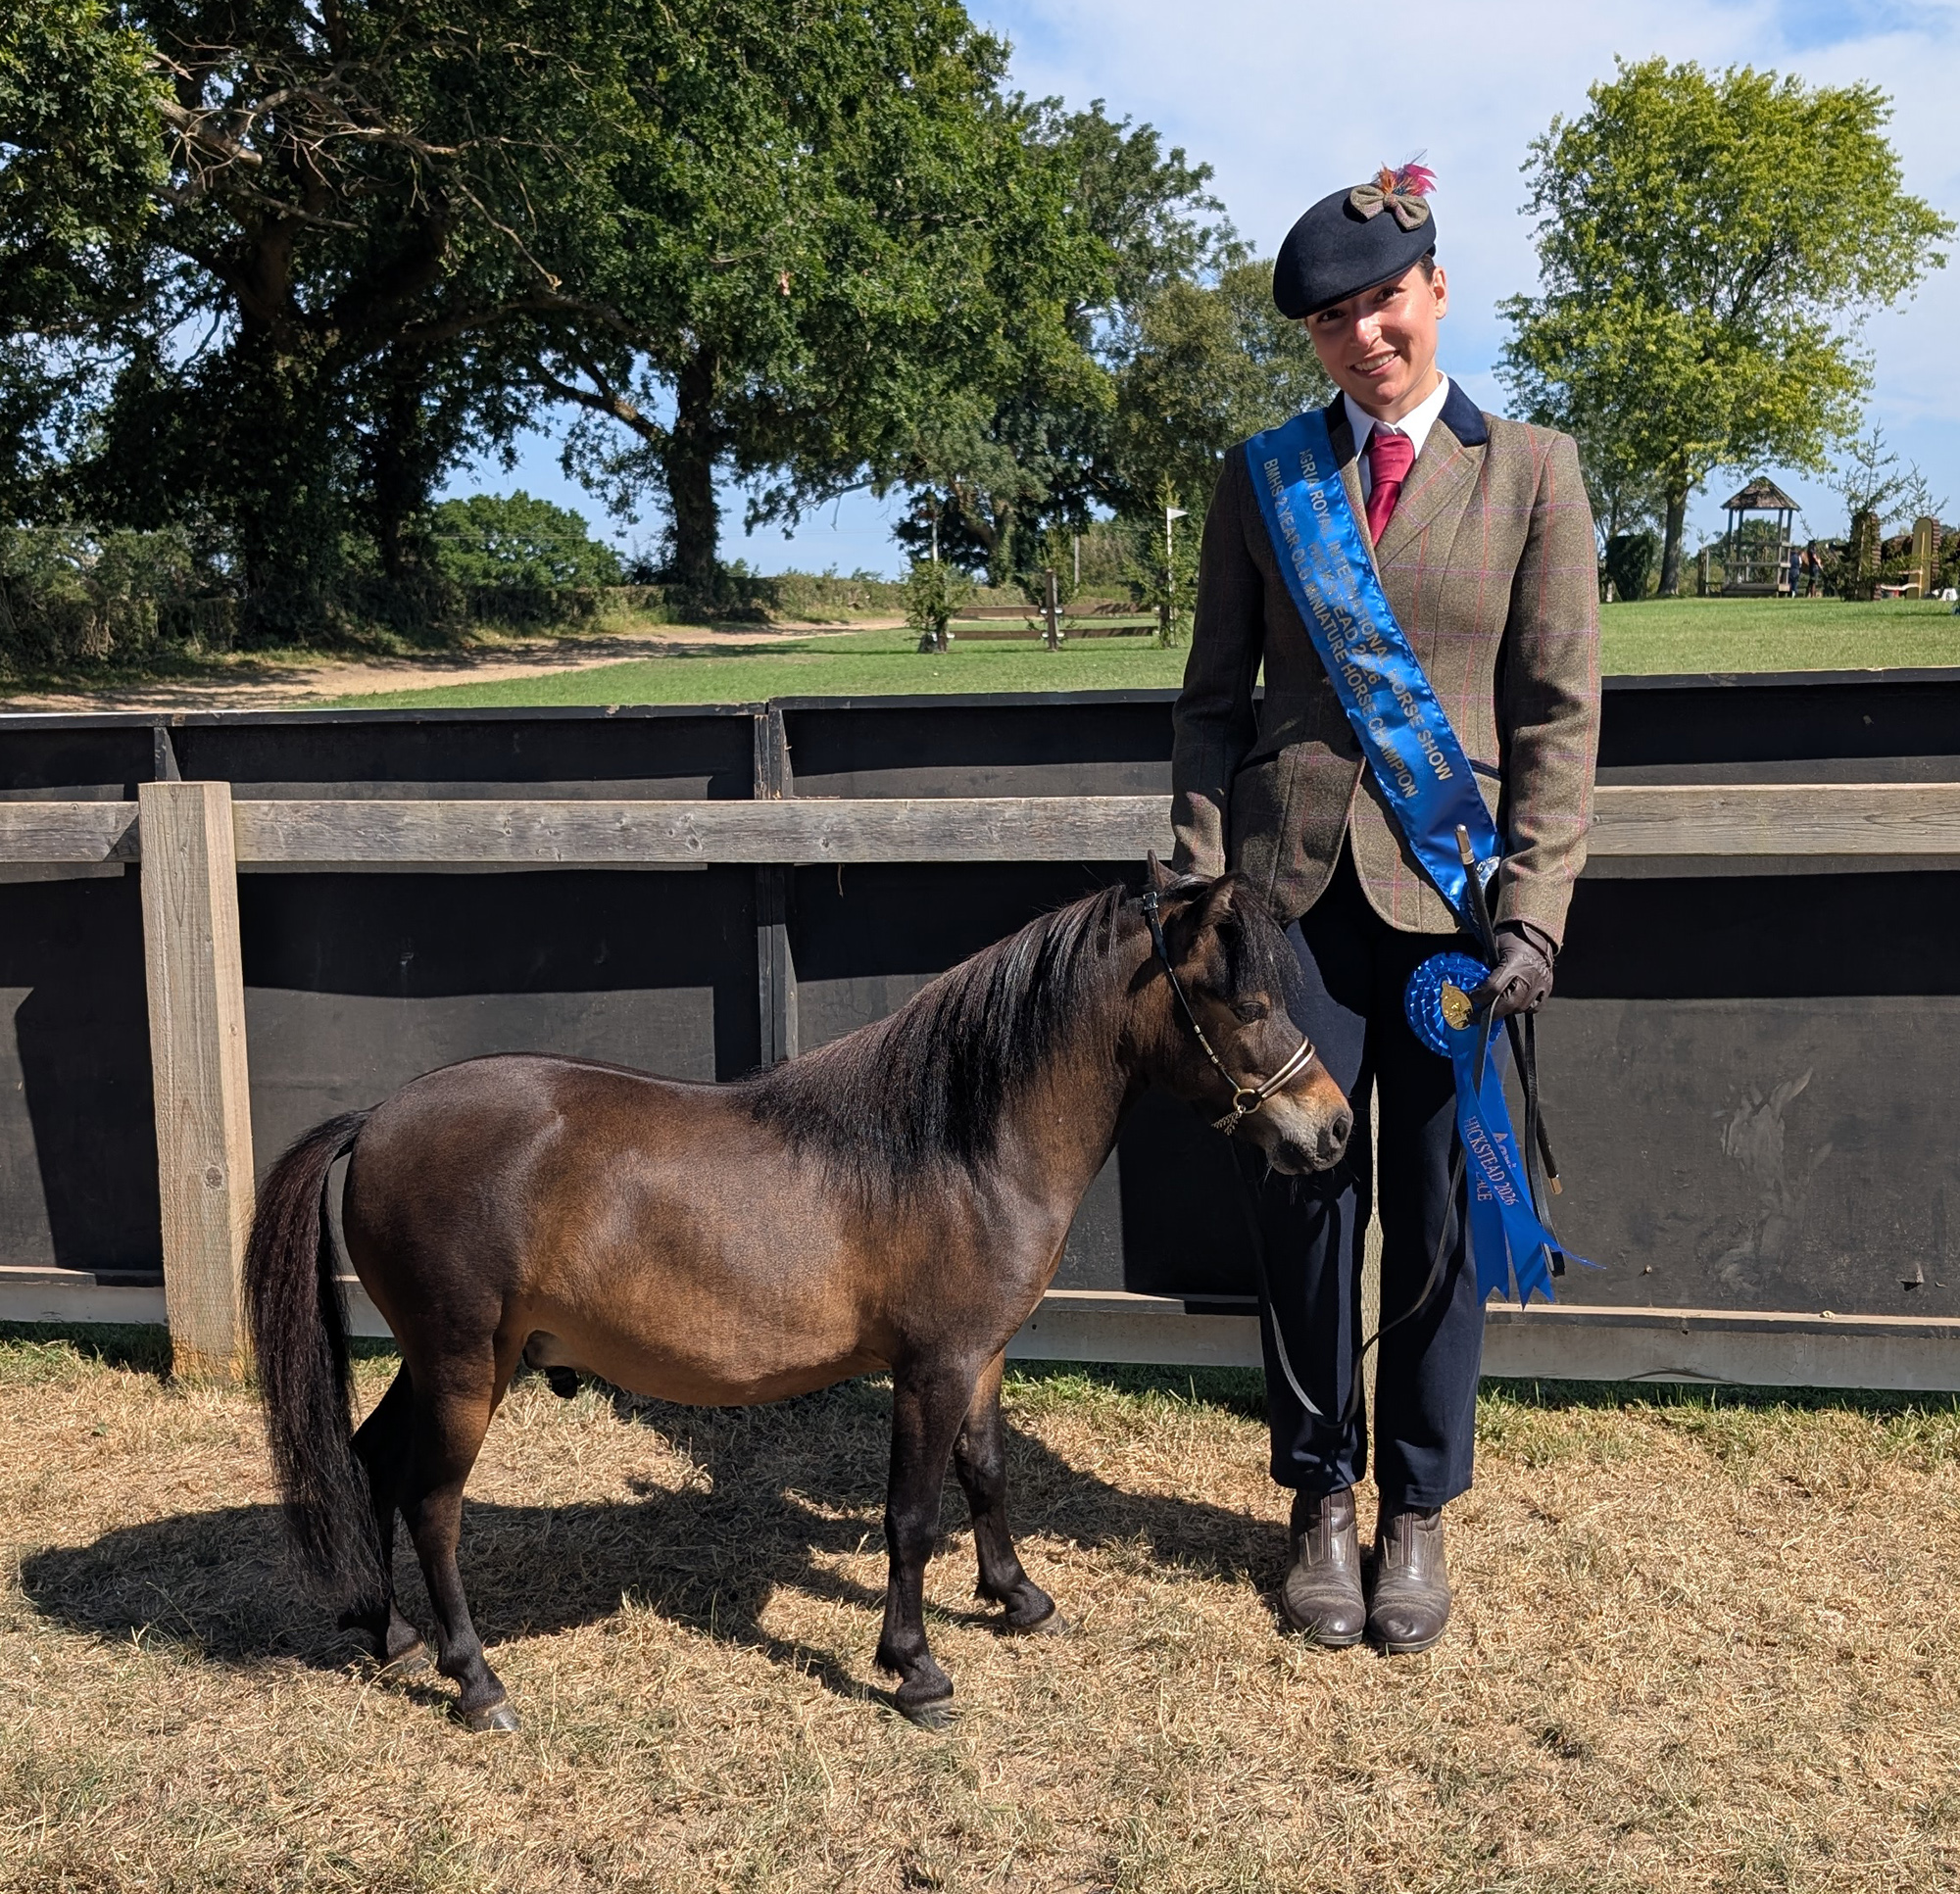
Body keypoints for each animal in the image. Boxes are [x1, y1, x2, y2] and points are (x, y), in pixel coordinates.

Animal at [245, 860, 1353, 1732]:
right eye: (1244, 1003)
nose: (1334, 1128)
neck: (953, 1145)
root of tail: (375, 1118)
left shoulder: (983, 1354)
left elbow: (987, 1474)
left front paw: (1016, 1597)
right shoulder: (931, 1367)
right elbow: (911, 1513)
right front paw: (913, 1668)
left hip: (436, 1362)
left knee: (370, 1461)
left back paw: (387, 1629)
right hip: (466, 1363)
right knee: (432, 1502)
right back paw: (475, 1680)